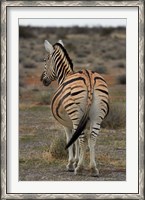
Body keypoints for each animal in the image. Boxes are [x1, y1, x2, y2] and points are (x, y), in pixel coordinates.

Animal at [40, 39, 109, 177]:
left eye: (45, 60)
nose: (43, 80)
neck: (65, 76)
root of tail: (89, 77)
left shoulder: (67, 124)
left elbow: (71, 139)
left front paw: (72, 163)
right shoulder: (82, 123)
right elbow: (79, 141)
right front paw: (78, 160)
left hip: (76, 115)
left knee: (82, 138)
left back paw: (80, 168)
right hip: (97, 116)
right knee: (92, 138)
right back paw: (93, 168)